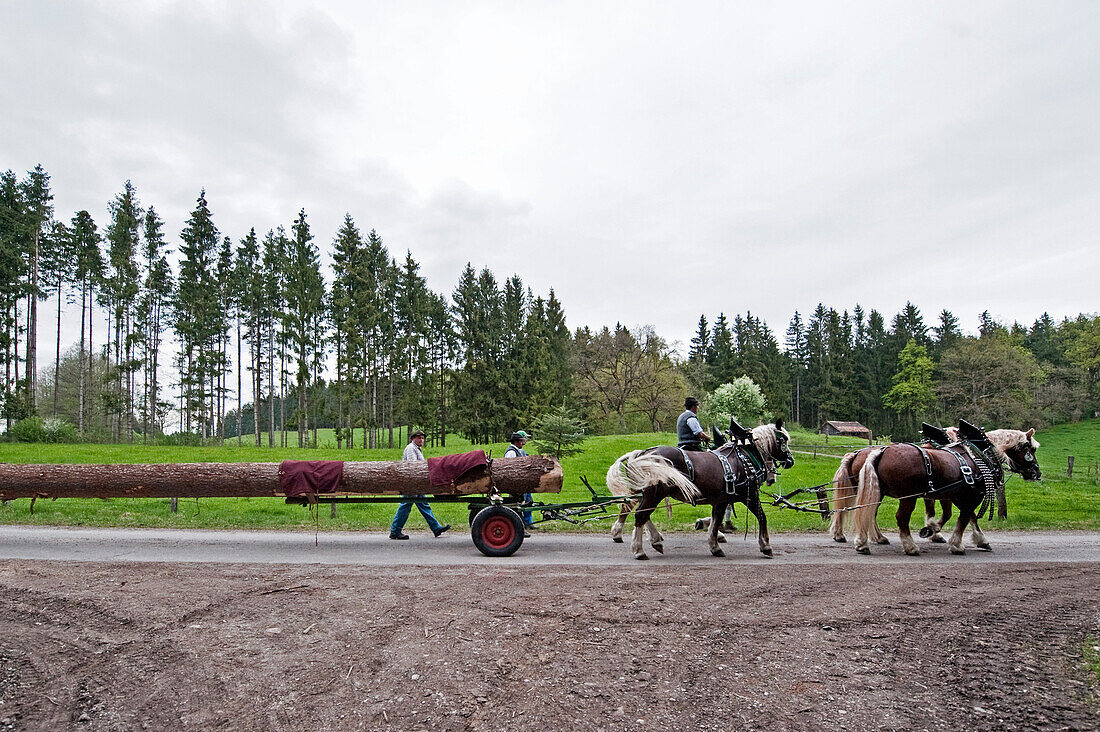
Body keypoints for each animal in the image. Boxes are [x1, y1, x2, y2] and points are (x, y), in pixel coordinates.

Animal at [607, 420, 796, 556]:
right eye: (783, 440)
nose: (790, 461)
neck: (744, 458)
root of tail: (642, 454)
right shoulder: (749, 495)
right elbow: (762, 517)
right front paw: (765, 545)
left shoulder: (721, 499)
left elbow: (715, 521)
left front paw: (715, 545)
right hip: (654, 493)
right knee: (640, 514)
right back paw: (638, 549)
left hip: (645, 492)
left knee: (636, 511)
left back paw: (652, 539)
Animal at [827, 422, 1042, 548]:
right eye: (1030, 448)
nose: (1036, 473)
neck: (977, 453)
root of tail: (872, 452)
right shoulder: (965, 494)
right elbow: (962, 516)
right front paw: (937, 532)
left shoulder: (949, 494)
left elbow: (964, 516)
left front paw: (935, 530)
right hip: (901, 495)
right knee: (890, 516)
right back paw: (905, 545)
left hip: (874, 491)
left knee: (865, 511)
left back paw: (866, 539)